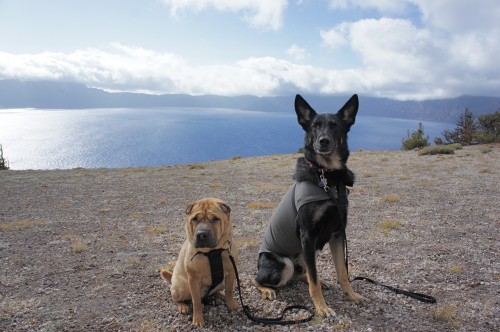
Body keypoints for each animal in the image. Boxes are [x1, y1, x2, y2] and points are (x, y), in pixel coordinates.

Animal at [160, 197, 238, 326]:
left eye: (215, 219)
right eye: (195, 219)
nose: (201, 234)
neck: (212, 252)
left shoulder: (231, 272)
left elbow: (229, 290)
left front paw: (231, 304)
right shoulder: (193, 279)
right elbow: (196, 302)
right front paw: (198, 319)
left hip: (221, 282)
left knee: (215, 291)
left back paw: (220, 295)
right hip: (182, 287)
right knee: (175, 297)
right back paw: (182, 306)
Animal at [254, 95, 368, 316]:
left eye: (335, 126)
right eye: (315, 126)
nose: (323, 141)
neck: (327, 175)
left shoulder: (337, 233)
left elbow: (342, 272)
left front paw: (351, 295)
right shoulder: (308, 235)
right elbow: (313, 281)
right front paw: (322, 307)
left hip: (309, 252)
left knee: (304, 272)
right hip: (286, 262)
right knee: (256, 279)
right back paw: (266, 290)